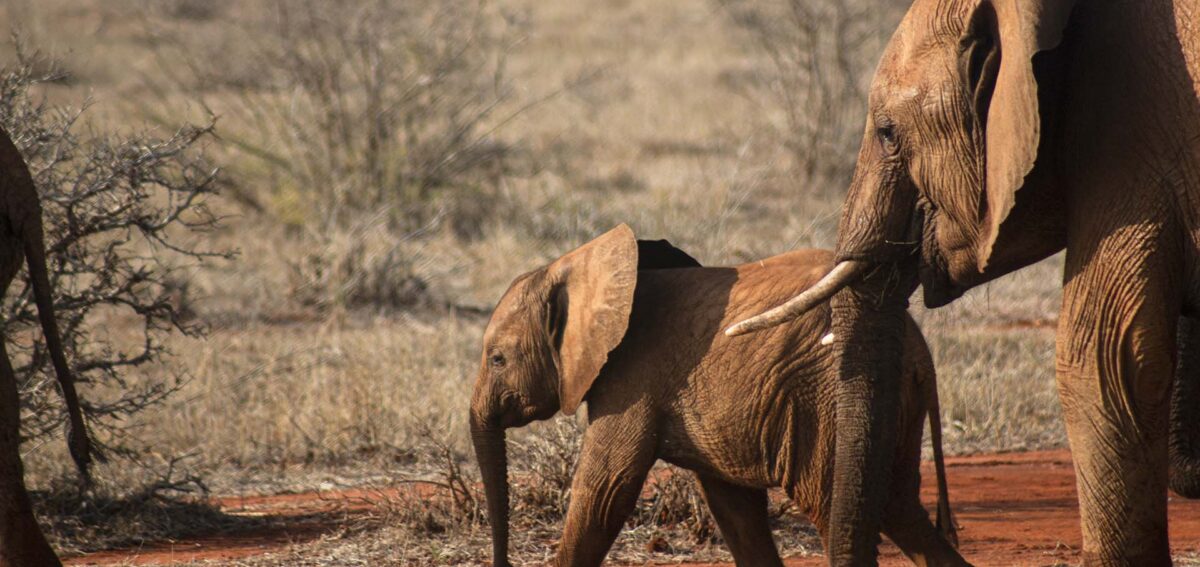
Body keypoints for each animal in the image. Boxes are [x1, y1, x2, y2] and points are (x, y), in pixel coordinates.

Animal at [470, 224, 965, 567]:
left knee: (839, 511)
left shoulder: (631, 378)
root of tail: (920, 351)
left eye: (497, 359)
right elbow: (734, 507)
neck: (581, 266)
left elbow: (605, 491)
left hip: (829, 398)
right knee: (900, 508)